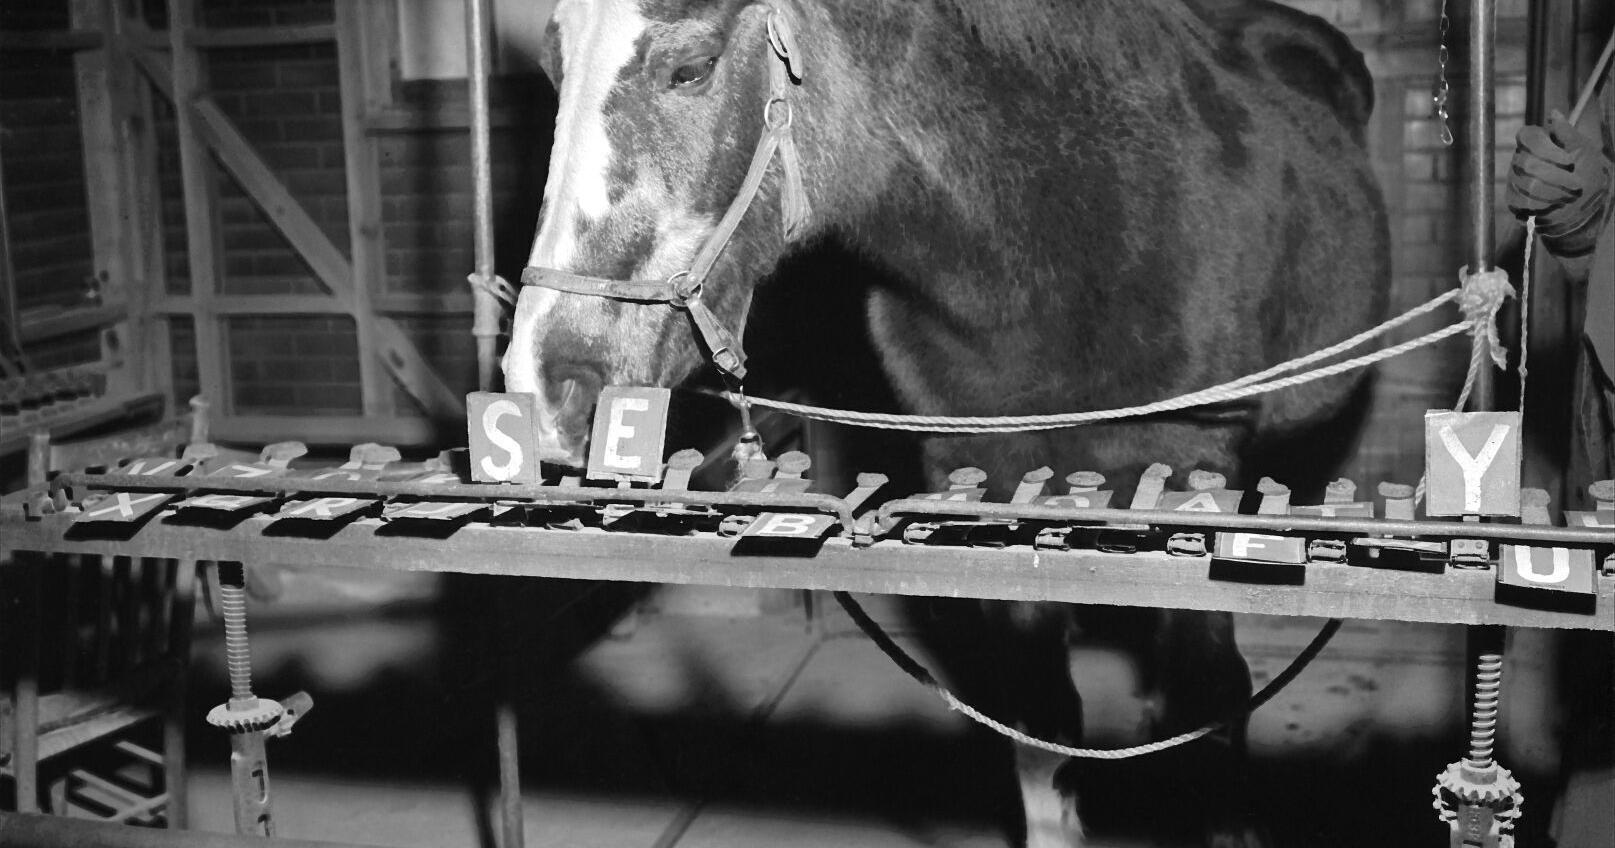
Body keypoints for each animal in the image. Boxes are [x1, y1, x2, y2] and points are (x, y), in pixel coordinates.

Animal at [500, 0, 1390, 844]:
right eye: (552, 72)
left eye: (692, 66)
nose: (544, 392)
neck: (1073, 235)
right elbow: (1041, 727)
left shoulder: (1192, 481)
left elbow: (1211, 707)